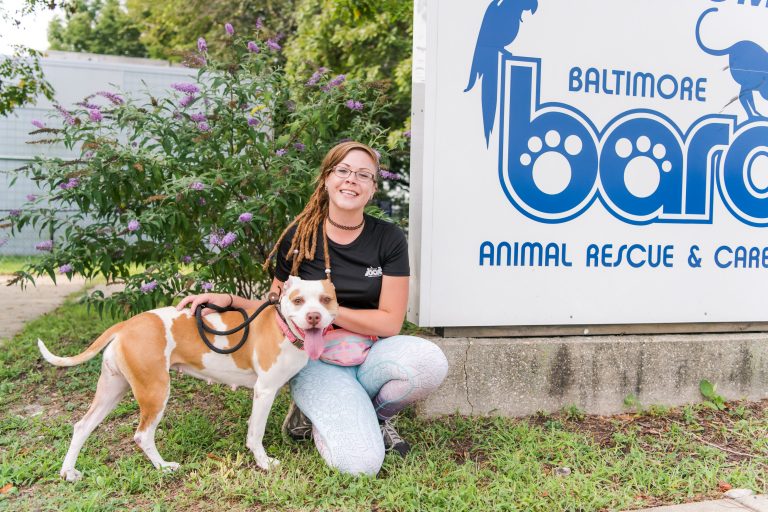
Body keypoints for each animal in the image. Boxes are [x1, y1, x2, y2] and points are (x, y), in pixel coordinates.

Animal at [36, 276, 336, 480]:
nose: (313, 316)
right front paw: (263, 462)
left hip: (112, 390)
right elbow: (257, 432)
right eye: (298, 300)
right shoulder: (265, 390)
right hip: (155, 391)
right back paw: (163, 467)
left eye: (326, 300)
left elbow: (253, 426)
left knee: (82, 426)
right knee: (142, 435)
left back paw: (68, 471)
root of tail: (127, 324)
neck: (282, 326)